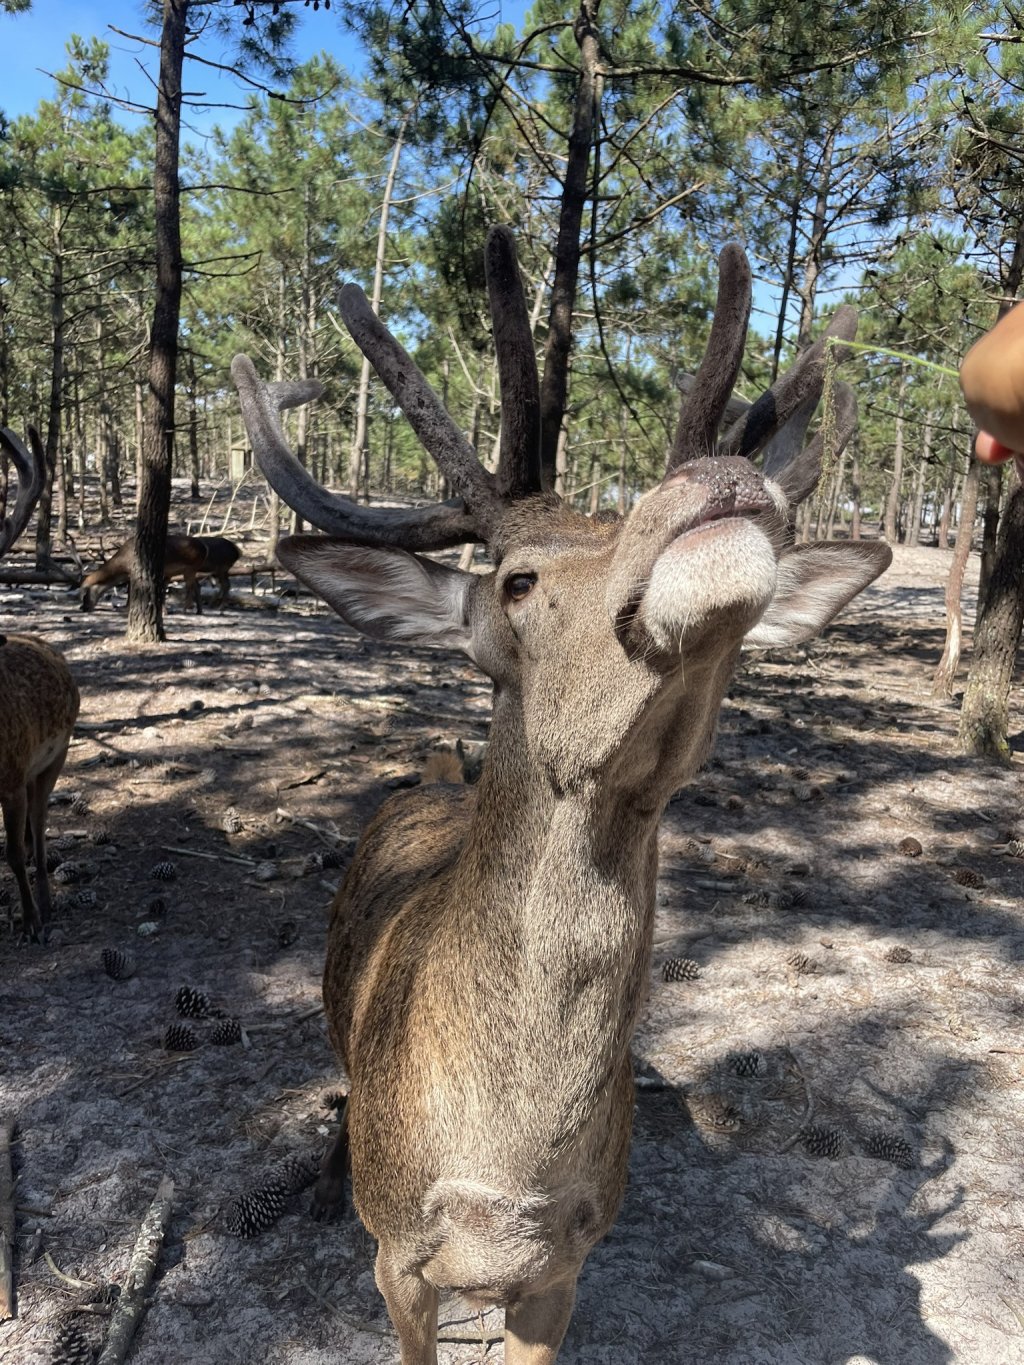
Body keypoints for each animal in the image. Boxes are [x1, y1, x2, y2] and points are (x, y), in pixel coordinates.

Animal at [80, 533, 240, 612]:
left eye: (86, 593)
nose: (83, 607)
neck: (122, 565)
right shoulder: (165, 574)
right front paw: (163, 610)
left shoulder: (134, 573)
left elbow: (131, 591)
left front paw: (127, 608)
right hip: (201, 569)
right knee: (199, 586)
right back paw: (200, 610)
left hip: (194, 568)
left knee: (192, 586)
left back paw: (187, 608)